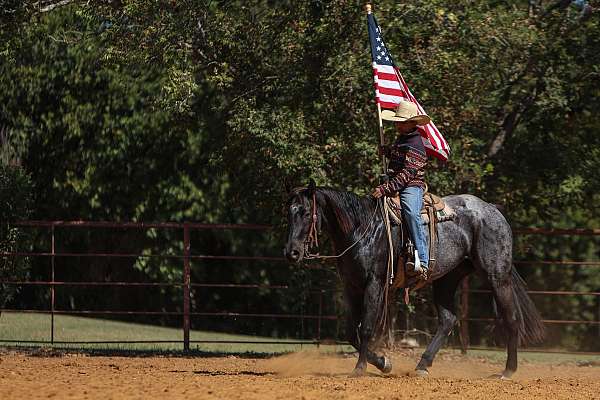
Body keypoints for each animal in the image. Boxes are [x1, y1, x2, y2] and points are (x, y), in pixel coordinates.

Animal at [284, 181, 548, 378]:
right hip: (447, 279)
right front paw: (383, 363)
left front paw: (360, 369)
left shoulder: (374, 284)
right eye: (289, 213)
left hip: (496, 275)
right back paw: (422, 365)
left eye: (306, 213)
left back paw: (507, 371)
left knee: (511, 318)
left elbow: (366, 328)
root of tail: (492, 210)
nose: (292, 252)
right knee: (448, 320)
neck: (362, 230)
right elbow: (351, 332)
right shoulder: (352, 287)